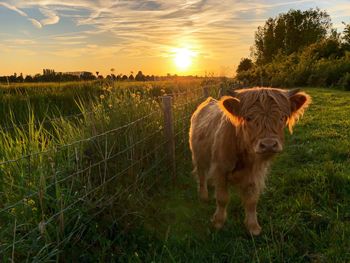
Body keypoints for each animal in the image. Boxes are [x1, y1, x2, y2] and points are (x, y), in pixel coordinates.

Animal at [190, 87, 310, 236]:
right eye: (248, 118)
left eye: (282, 117)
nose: (269, 144)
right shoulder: (220, 170)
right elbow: (222, 198)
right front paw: (218, 222)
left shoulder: (254, 174)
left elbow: (252, 201)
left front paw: (253, 227)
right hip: (199, 156)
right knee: (201, 175)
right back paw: (203, 196)